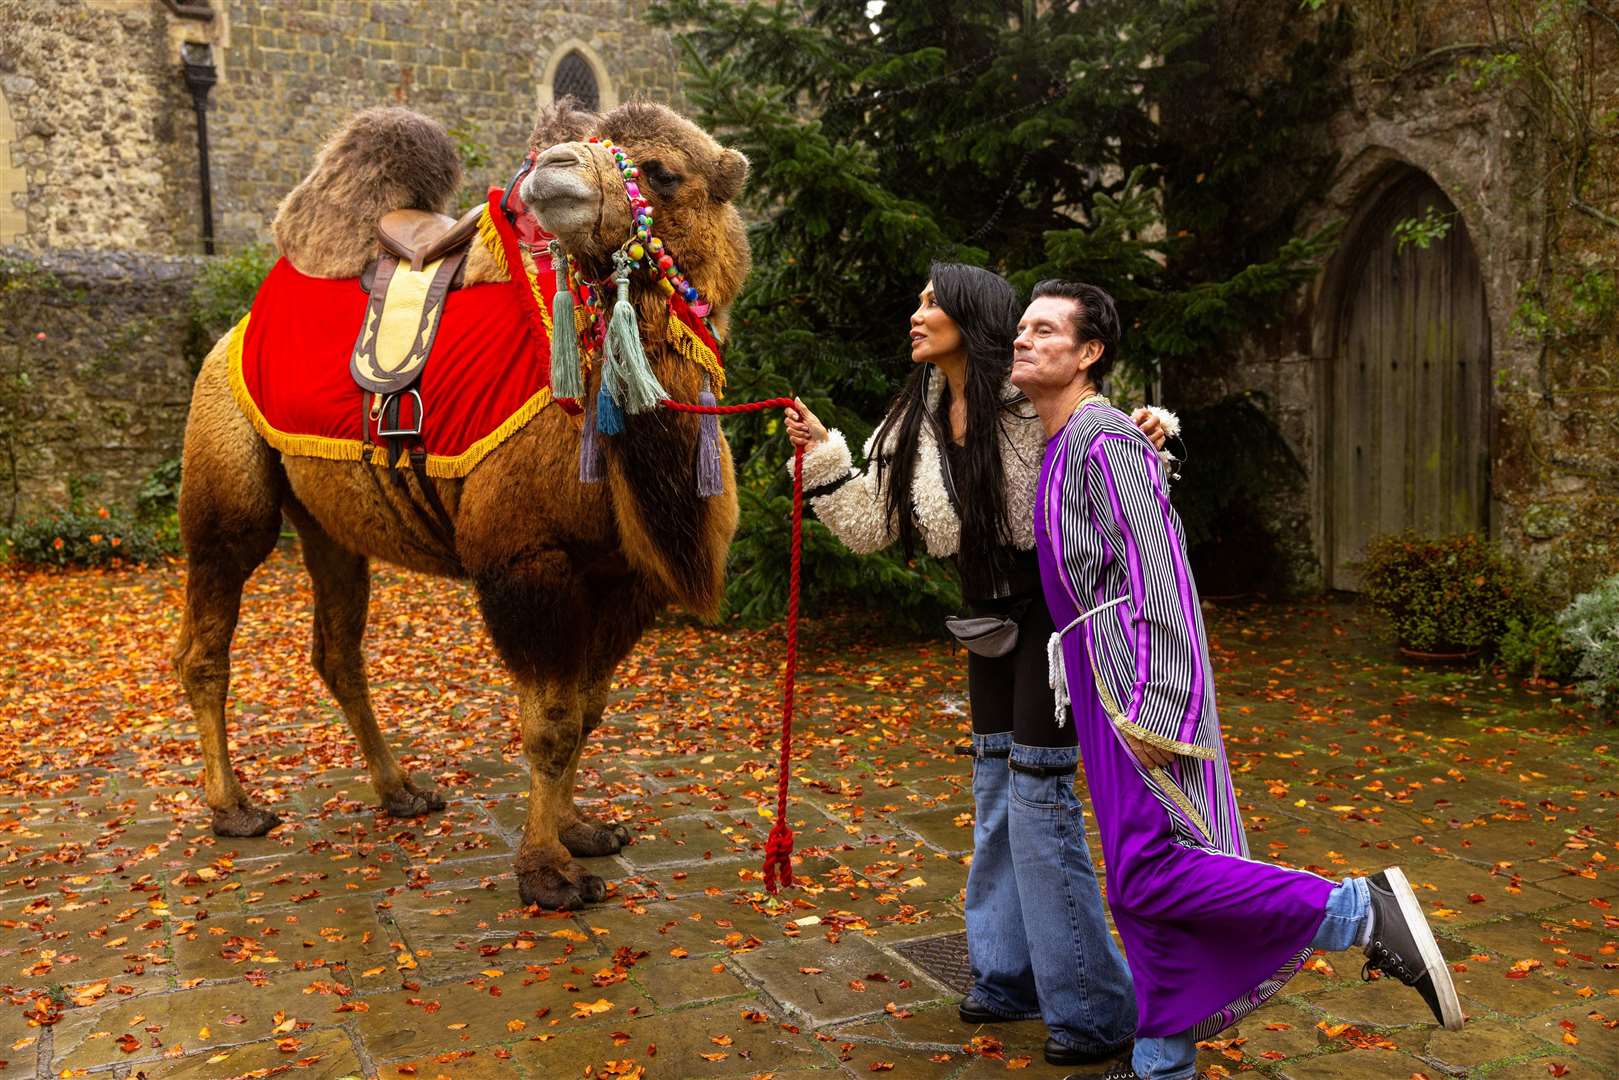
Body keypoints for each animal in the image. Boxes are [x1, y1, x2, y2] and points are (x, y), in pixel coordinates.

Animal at [174, 103, 754, 913]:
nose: (555, 171)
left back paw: (402, 791)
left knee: (337, 649)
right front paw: (547, 873)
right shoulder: (526, 560)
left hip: (327, 522)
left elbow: (589, 711)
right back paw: (235, 808)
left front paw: (583, 832)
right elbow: (550, 723)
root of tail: (240, 321)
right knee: (209, 633)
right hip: (226, 466)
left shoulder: (624, 577)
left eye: (663, 171)